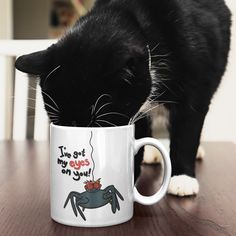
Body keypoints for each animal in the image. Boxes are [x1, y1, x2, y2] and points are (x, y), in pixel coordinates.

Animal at [15, 0, 231, 195]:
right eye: (61, 122)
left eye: (99, 125)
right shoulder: (135, 109)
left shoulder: (195, 82)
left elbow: (187, 128)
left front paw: (183, 178)